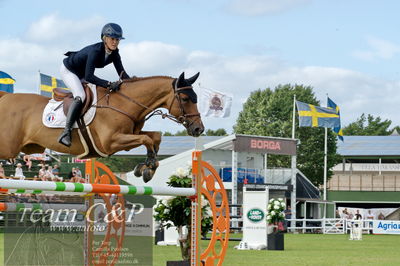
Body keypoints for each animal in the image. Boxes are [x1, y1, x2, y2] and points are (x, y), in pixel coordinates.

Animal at [0, 71, 205, 182]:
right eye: (185, 99)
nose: (199, 129)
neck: (124, 103)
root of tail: (6, 97)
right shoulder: (110, 143)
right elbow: (147, 138)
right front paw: (148, 167)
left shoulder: (129, 136)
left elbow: (155, 136)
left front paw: (146, 167)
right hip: (9, 147)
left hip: (29, 146)